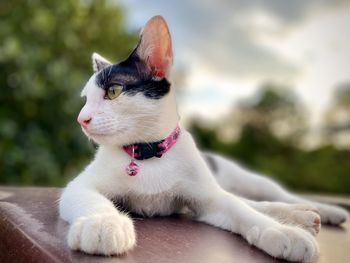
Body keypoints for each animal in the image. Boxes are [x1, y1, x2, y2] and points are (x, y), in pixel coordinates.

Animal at [58, 15, 348, 262]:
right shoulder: (80, 185)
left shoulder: (209, 201)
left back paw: (316, 212)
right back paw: (300, 216)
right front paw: (103, 223)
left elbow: (239, 210)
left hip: (247, 180)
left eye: (113, 91)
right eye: (85, 99)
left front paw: (281, 232)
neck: (149, 153)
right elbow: (91, 198)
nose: (81, 119)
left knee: (263, 196)